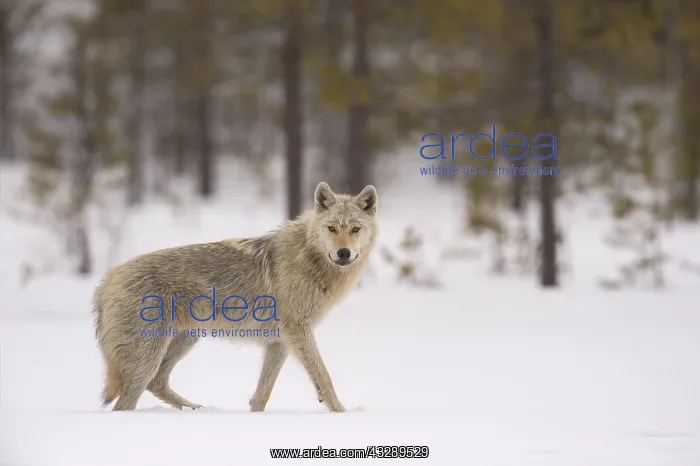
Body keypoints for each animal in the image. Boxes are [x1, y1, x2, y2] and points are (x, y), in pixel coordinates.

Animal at [93, 182, 378, 412]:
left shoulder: (280, 343)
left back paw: (194, 409)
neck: (310, 259)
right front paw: (341, 413)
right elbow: (324, 376)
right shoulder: (298, 332)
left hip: (185, 341)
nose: (344, 253)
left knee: (157, 383)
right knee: (126, 403)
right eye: (332, 228)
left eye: (355, 229)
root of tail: (108, 278)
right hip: (150, 359)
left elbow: (261, 396)